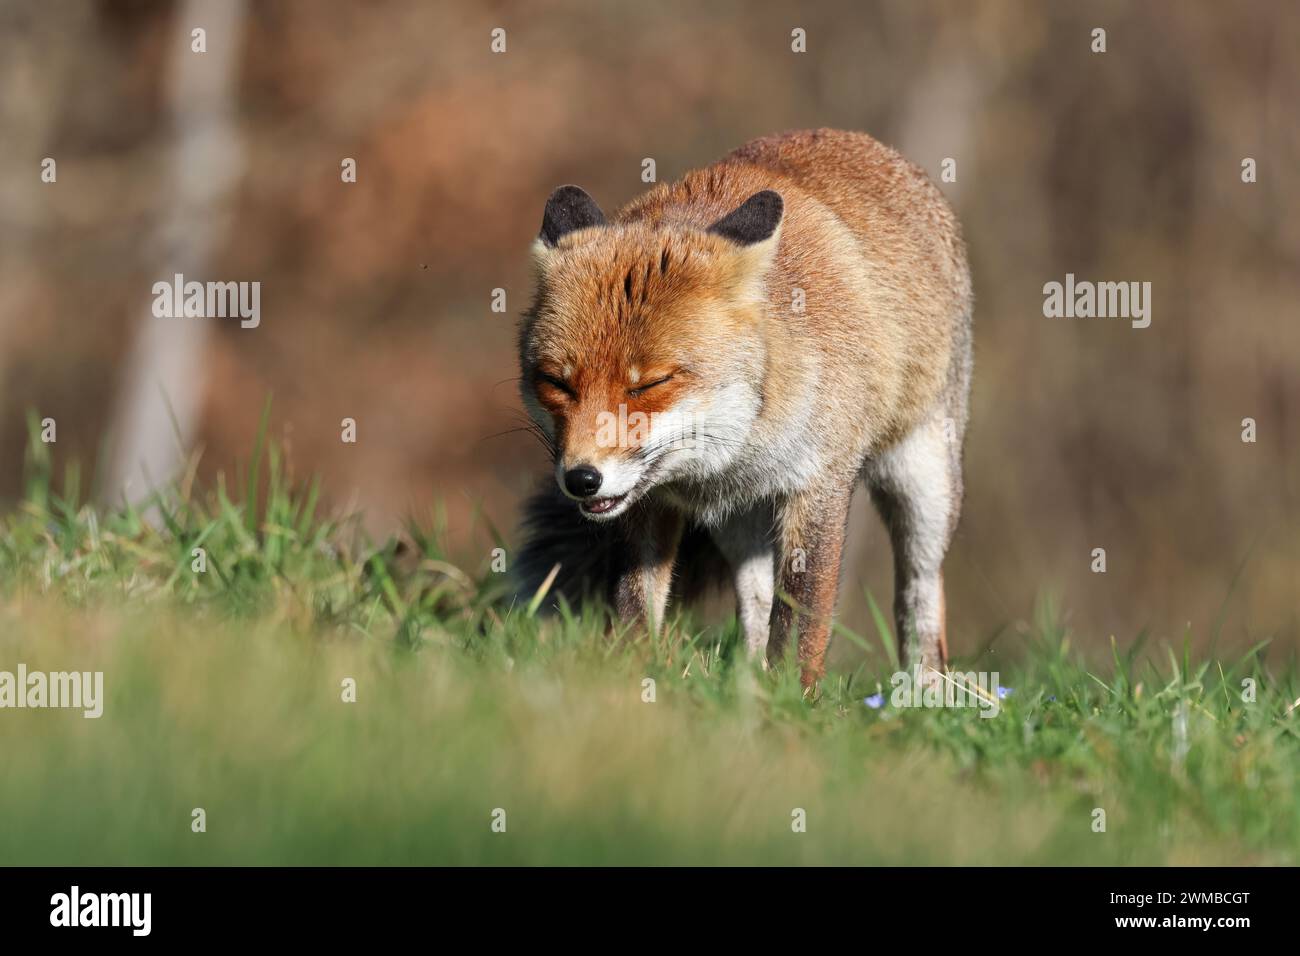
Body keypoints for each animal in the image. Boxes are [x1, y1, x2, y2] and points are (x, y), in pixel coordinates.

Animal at [512, 130, 972, 691]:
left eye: (653, 384)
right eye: (557, 382)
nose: (581, 479)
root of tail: (862, 142)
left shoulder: (818, 484)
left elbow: (800, 619)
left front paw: (793, 698)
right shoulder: (645, 500)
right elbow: (636, 603)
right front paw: (632, 678)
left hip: (925, 485)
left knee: (921, 596)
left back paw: (925, 691)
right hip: (740, 524)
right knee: (753, 603)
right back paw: (747, 685)